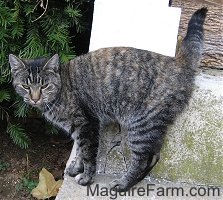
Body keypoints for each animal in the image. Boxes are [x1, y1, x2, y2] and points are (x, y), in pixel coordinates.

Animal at [8, 7, 207, 191]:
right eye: (26, 86)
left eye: (44, 86)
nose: (34, 98)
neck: (62, 87)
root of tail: (178, 63)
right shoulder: (78, 127)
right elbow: (79, 149)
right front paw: (76, 168)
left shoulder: (87, 124)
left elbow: (88, 153)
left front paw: (86, 177)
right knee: (155, 155)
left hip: (141, 125)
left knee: (144, 159)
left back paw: (124, 183)